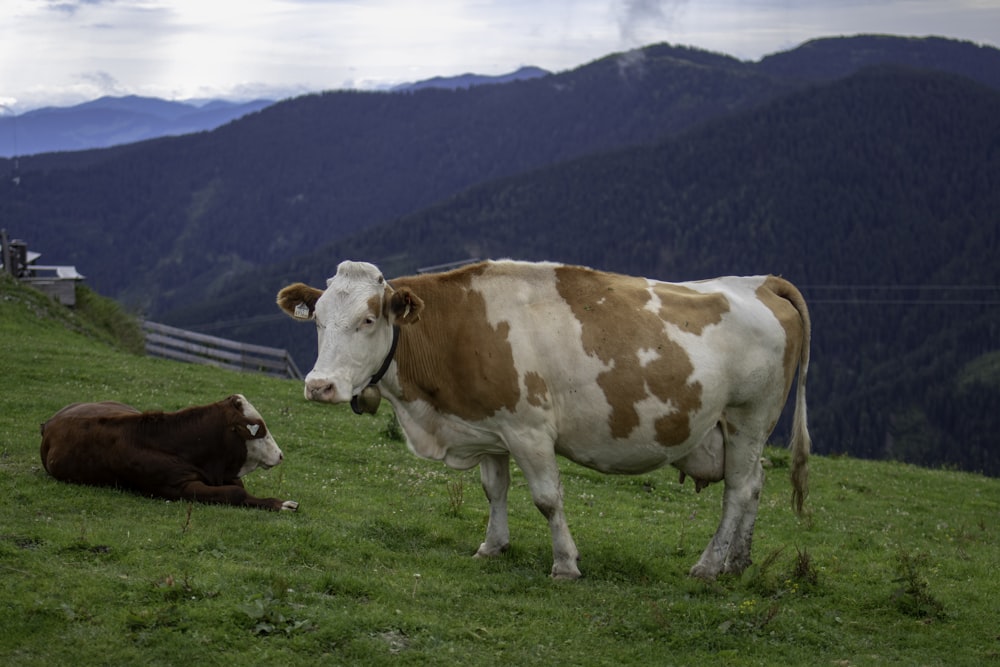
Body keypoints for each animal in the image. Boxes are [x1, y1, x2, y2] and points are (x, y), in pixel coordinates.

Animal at [40, 392, 296, 512]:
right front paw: (281, 504)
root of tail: (50, 422)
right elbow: (235, 492)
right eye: (259, 429)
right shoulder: (177, 487)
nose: (280, 454)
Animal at [278, 260, 808, 580]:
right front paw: (492, 546)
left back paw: (708, 565)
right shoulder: (488, 427)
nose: (319, 386)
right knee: (756, 484)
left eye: (368, 320)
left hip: (747, 418)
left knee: (738, 490)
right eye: (317, 320)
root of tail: (760, 281)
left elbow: (547, 499)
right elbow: (494, 490)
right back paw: (738, 562)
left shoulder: (528, 428)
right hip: (742, 433)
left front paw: (565, 564)